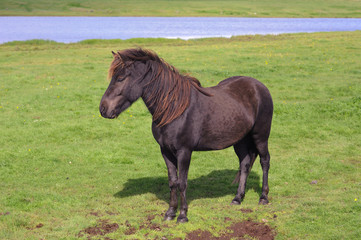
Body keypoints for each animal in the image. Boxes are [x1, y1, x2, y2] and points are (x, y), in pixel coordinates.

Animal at [99, 48, 272, 223]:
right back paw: (237, 198)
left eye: (120, 78)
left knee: (265, 161)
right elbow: (172, 182)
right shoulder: (165, 151)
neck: (173, 109)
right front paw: (170, 213)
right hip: (240, 140)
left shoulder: (184, 151)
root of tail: (259, 86)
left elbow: (182, 183)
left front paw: (182, 215)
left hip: (260, 136)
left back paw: (263, 197)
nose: (103, 109)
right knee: (244, 164)